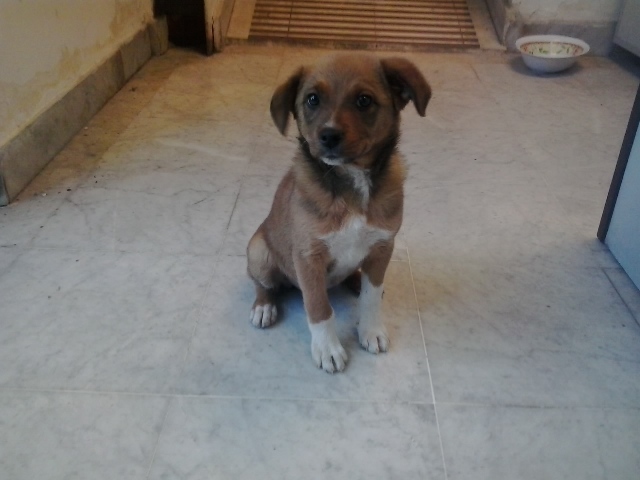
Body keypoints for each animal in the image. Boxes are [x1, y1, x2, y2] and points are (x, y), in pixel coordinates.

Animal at [246, 53, 430, 373]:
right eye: (312, 99)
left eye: (364, 100)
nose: (329, 136)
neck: (351, 181)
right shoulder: (308, 257)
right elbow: (319, 308)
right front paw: (328, 349)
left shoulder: (383, 246)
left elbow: (371, 297)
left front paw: (371, 331)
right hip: (257, 249)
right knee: (262, 283)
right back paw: (264, 306)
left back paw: (356, 279)